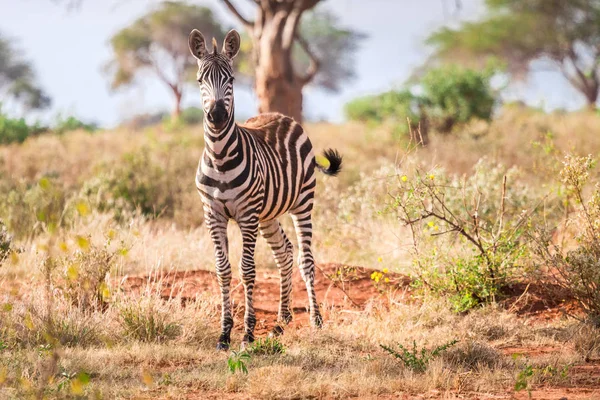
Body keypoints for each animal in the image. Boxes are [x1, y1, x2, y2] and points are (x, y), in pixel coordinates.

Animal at [189, 28, 342, 350]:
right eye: (199, 80)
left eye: (231, 79)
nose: (217, 116)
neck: (220, 157)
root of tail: (282, 115)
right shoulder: (213, 215)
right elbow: (223, 270)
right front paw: (224, 334)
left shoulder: (247, 216)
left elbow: (247, 270)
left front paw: (247, 333)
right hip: (268, 215)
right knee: (284, 252)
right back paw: (281, 322)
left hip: (302, 203)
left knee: (306, 260)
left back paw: (315, 320)